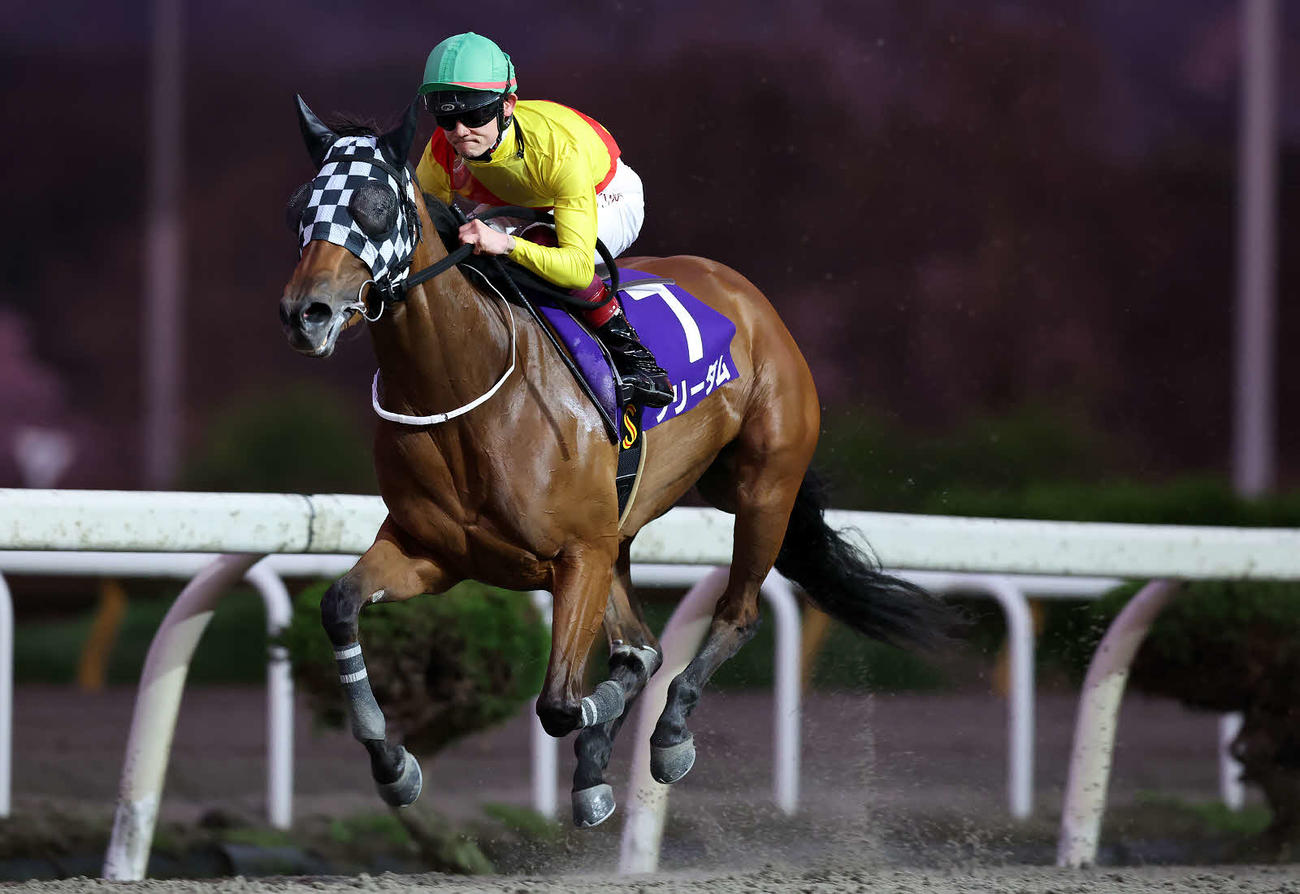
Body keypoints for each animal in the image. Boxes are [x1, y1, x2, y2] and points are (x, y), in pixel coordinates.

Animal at [278, 97, 948, 827]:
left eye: (373, 204)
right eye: (299, 206)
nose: (306, 313)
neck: (463, 390)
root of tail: (746, 294)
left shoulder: (579, 554)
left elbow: (562, 702)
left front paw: (618, 742)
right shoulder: (434, 553)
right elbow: (340, 605)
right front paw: (395, 766)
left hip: (764, 486)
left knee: (734, 614)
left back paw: (671, 734)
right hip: (628, 533)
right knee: (642, 643)